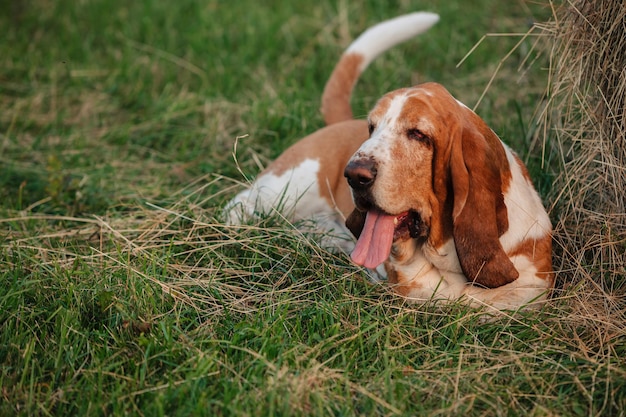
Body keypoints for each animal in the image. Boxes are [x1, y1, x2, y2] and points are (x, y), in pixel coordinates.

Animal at [224, 11, 552, 310]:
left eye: (418, 134)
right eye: (372, 127)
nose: (354, 175)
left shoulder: (532, 290)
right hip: (287, 186)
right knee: (241, 204)